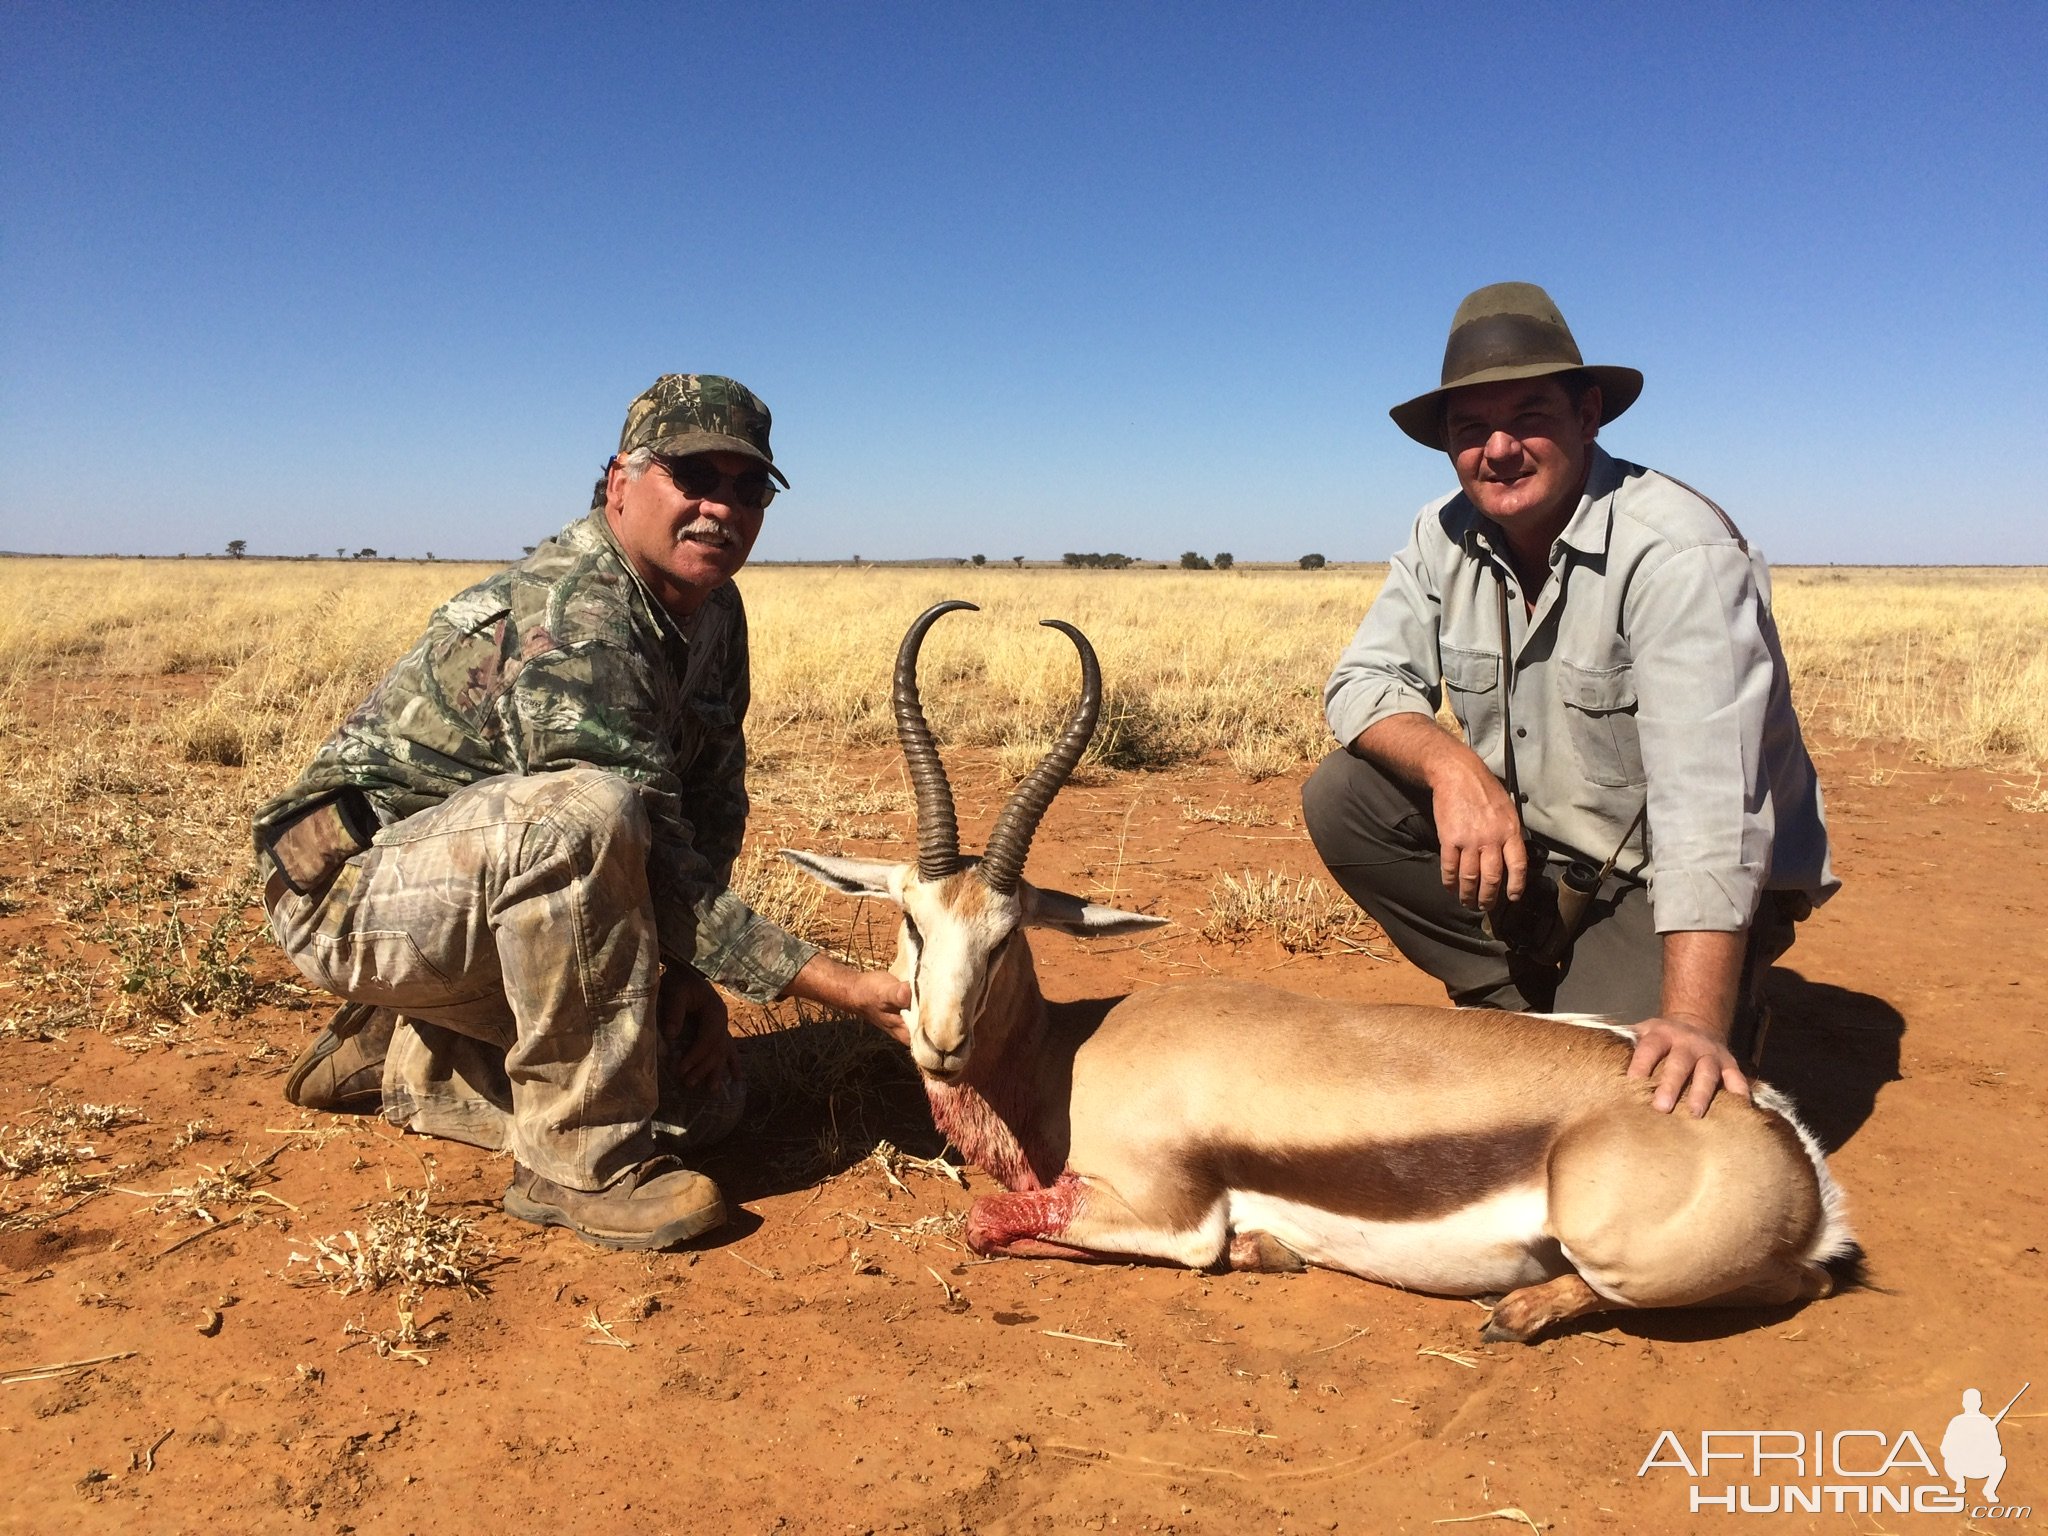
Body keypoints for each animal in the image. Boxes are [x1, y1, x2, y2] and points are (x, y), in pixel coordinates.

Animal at [786, 606, 1859, 1343]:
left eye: (1008, 937)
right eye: (913, 923)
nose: (942, 1041)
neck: (1065, 1060)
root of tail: (1781, 1140)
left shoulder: (1165, 1210)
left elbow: (992, 1220)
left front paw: (1258, 1248)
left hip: (1622, 1251)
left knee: (1793, 1285)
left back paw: (1514, 1312)